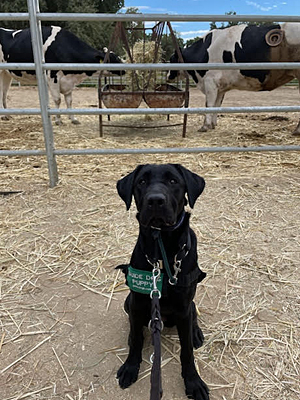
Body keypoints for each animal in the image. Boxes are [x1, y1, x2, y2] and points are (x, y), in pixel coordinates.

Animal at [116, 163, 210, 400]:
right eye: (141, 182)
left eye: (173, 181)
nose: (155, 200)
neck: (162, 250)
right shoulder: (137, 302)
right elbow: (136, 341)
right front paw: (130, 367)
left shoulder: (184, 307)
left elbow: (187, 351)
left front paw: (193, 382)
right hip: (128, 302)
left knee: (193, 315)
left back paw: (195, 333)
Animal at [168, 23, 300, 134]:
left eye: (171, 59)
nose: (168, 75)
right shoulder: (220, 88)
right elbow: (217, 105)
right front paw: (213, 125)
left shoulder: (210, 82)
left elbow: (209, 104)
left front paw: (205, 126)